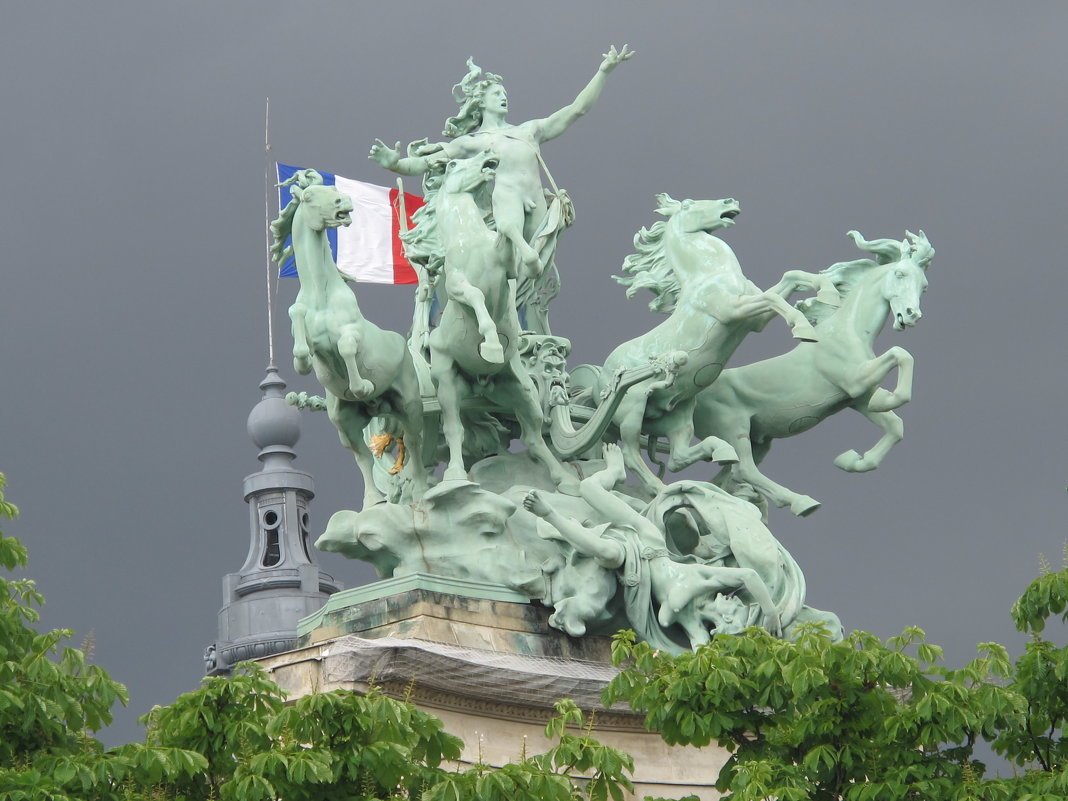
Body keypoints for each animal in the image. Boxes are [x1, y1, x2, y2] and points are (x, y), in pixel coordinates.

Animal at [692, 228, 935, 516]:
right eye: (900, 273)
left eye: (924, 285)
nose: (911, 315)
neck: (848, 330)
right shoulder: (855, 379)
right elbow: (901, 353)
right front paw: (887, 399)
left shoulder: (857, 398)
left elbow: (896, 426)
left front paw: (852, 460)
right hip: (732, 428)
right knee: (744, 470)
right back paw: (801, 502)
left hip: (757, 441)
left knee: (728, 476)